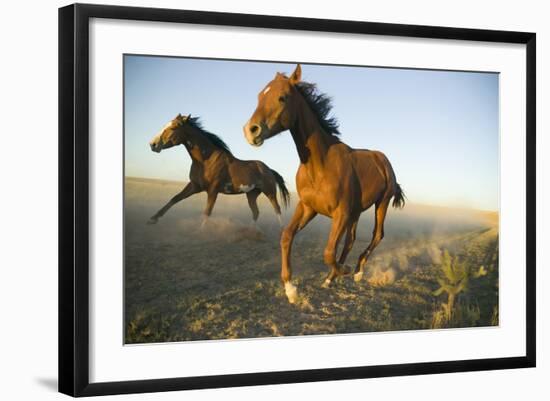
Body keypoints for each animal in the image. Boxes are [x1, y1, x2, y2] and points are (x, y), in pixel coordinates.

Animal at [149, 114, 292, 227]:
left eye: (173, 128)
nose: (152, 144)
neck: (205, 160)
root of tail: (269, 169)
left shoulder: (213, 190)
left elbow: (207, 212)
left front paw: (200, 232)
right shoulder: (195, 186)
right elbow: (175, 199)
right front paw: (153, 219)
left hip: (269, 192)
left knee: (277, 209)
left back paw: (281, 230)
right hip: (251, 194)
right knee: (256, 212)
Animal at [245, 65, 406, 304]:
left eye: (282, 97)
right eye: (259, 96)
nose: (250, 130)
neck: (320, 165)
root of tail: (382, 159)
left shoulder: (340, 214)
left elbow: (329, 252)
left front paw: (344, 270)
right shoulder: (308, 207)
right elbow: (287, 236)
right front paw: (291, 289)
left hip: (381, 203)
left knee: (377, 235)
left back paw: (357, 271)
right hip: (356, 212)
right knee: (350, 240)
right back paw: (331, 278)